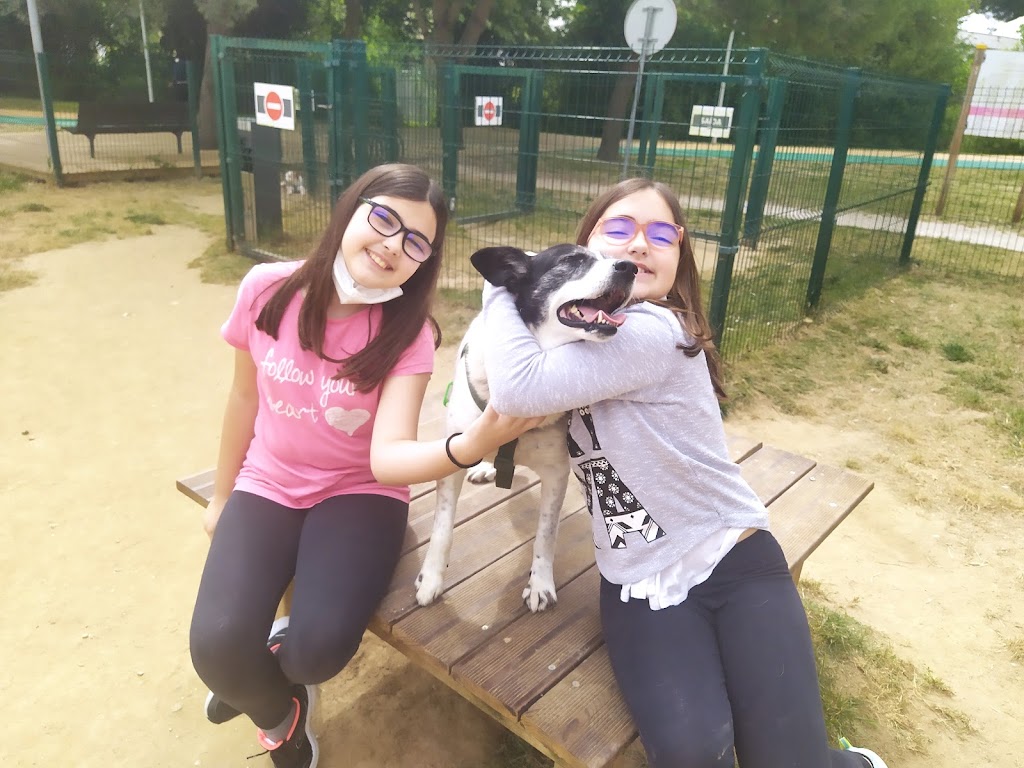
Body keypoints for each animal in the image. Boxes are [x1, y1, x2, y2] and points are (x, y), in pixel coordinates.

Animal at [415, 244, 638, 611]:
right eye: (572, 261)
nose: (631, 267)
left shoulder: (555, 475)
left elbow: (545, 537)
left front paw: (540, 585)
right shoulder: (451, 463)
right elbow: (442, 528)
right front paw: (430, 578)